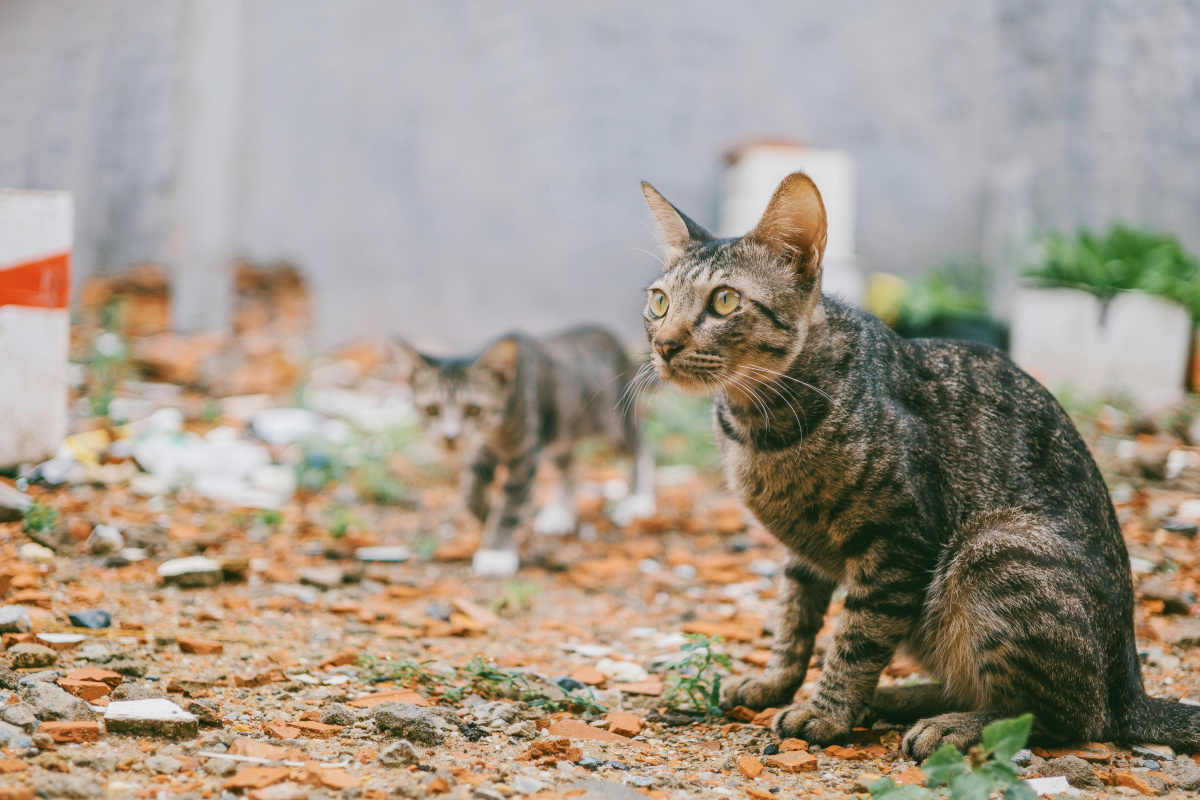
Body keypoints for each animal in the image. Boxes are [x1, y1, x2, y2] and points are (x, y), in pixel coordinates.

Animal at [393, 328, 657, 578]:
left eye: (474, 410)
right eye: (431, 410)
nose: (450, 437)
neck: (495, 433)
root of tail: (607, 336)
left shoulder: (525, 453)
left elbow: (510, 504)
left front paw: (497, 552)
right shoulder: (482, 454)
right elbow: (470, 492)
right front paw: (487, 512)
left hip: (612, 421)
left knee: (640, 445)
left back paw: (639, 499)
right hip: (558, 430)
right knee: (569, 464)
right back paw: (560, 514)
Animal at [638, 173, 1200, 758]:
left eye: (724, 301)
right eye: (658, 302)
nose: (664, 344)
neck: (757, 427)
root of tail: (1130, 689)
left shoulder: (897, 543)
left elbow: (856, 639)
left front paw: (826, 712)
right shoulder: (803, 552)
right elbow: (793, 620)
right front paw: (775, 683)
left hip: (992, 554)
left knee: (1066, 716)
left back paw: (952, 723)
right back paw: (900, 698)